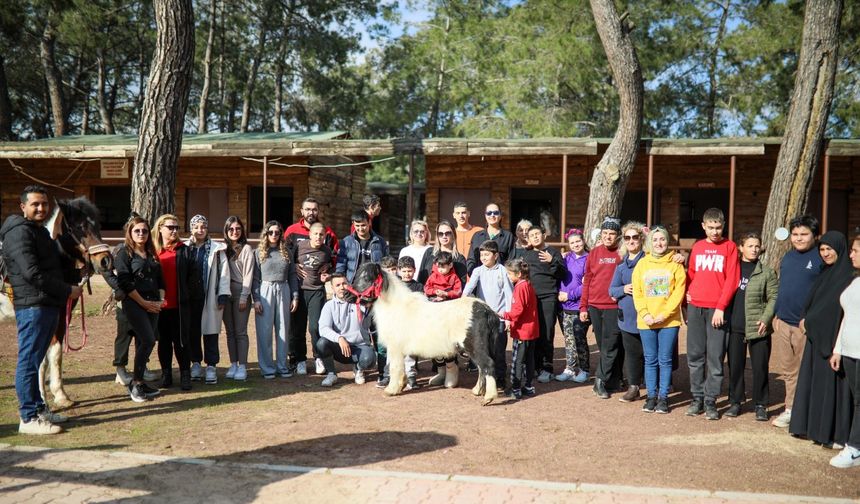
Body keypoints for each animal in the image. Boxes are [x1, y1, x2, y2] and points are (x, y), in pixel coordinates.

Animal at [348, 264, 500, 406]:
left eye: (366, 278)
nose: (347, 295)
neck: (395, 307)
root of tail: (486, 310)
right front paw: (401, 385)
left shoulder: (395, 348)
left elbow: (394, 367)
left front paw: (391, 390)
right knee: (482, 368)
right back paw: (477, 391)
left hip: (474, 346)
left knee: (488, 365)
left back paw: (488, 397)